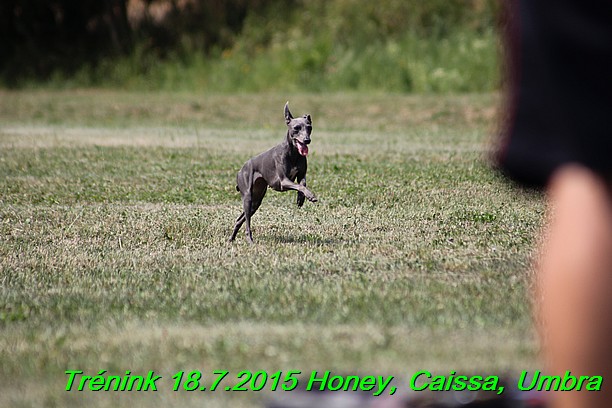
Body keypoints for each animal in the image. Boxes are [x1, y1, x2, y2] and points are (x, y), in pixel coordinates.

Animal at [227, 102, 318, 244]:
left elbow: (302, 184)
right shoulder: (283, 181)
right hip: (247, 196)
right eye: (296, 128)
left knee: (239, 219)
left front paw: (301, 198)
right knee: (247, 222)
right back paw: (250, 240)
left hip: (256, 201)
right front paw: (311, 196)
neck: (293, 153)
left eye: (309, 127)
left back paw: (231, 239)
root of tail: (241, 170)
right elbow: (300, 185)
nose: (307, 140)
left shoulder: (301, 175)